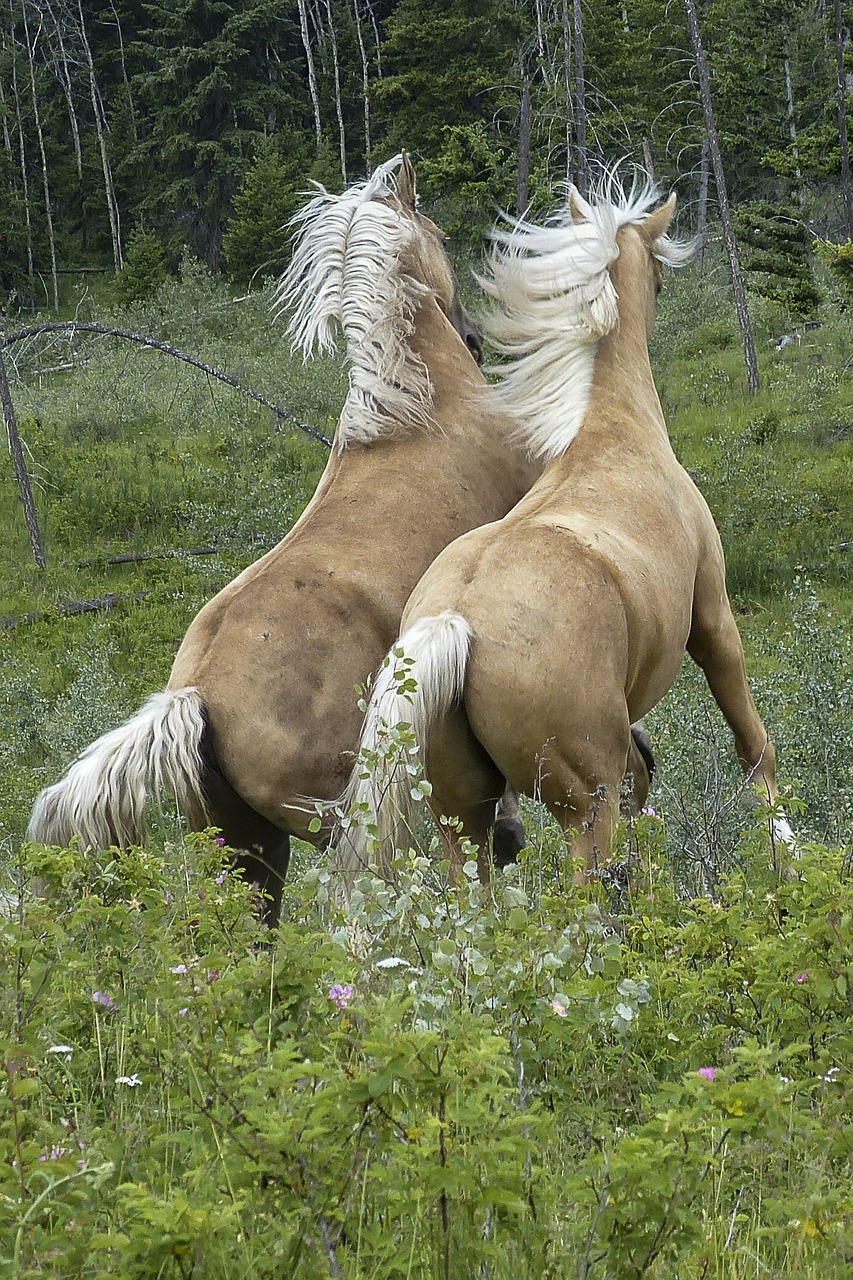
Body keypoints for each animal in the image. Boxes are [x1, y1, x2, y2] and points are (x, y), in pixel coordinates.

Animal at [29, 154, 537, 921]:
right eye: (441, 234)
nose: (474, 333)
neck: (419, 410)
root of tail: (196, 698)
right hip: (359, 827)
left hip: (247, 855)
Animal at [338, 177, 788, 880]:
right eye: (660, 271)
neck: (610, 429)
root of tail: (455, 623)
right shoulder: (713, 617)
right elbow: (754, 748)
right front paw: (786, 859)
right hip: (581, 808)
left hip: (463, 821)